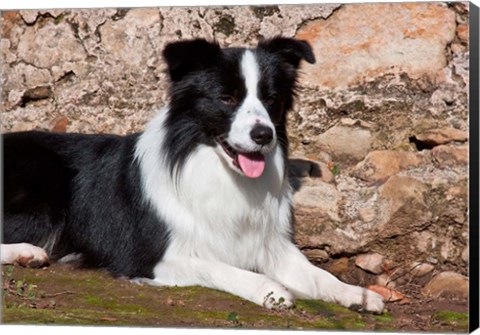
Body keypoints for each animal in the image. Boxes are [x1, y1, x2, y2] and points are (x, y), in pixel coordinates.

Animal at [0, 38, 382, 314]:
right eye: (226, 98)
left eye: (271, 99)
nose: (263, 135)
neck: (216, 169)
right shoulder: (153, 257)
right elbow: (220, 267)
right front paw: (270, 289)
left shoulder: (271, 244)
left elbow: (317, 274)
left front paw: (357, 293)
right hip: (42, 180)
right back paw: (26, 252)